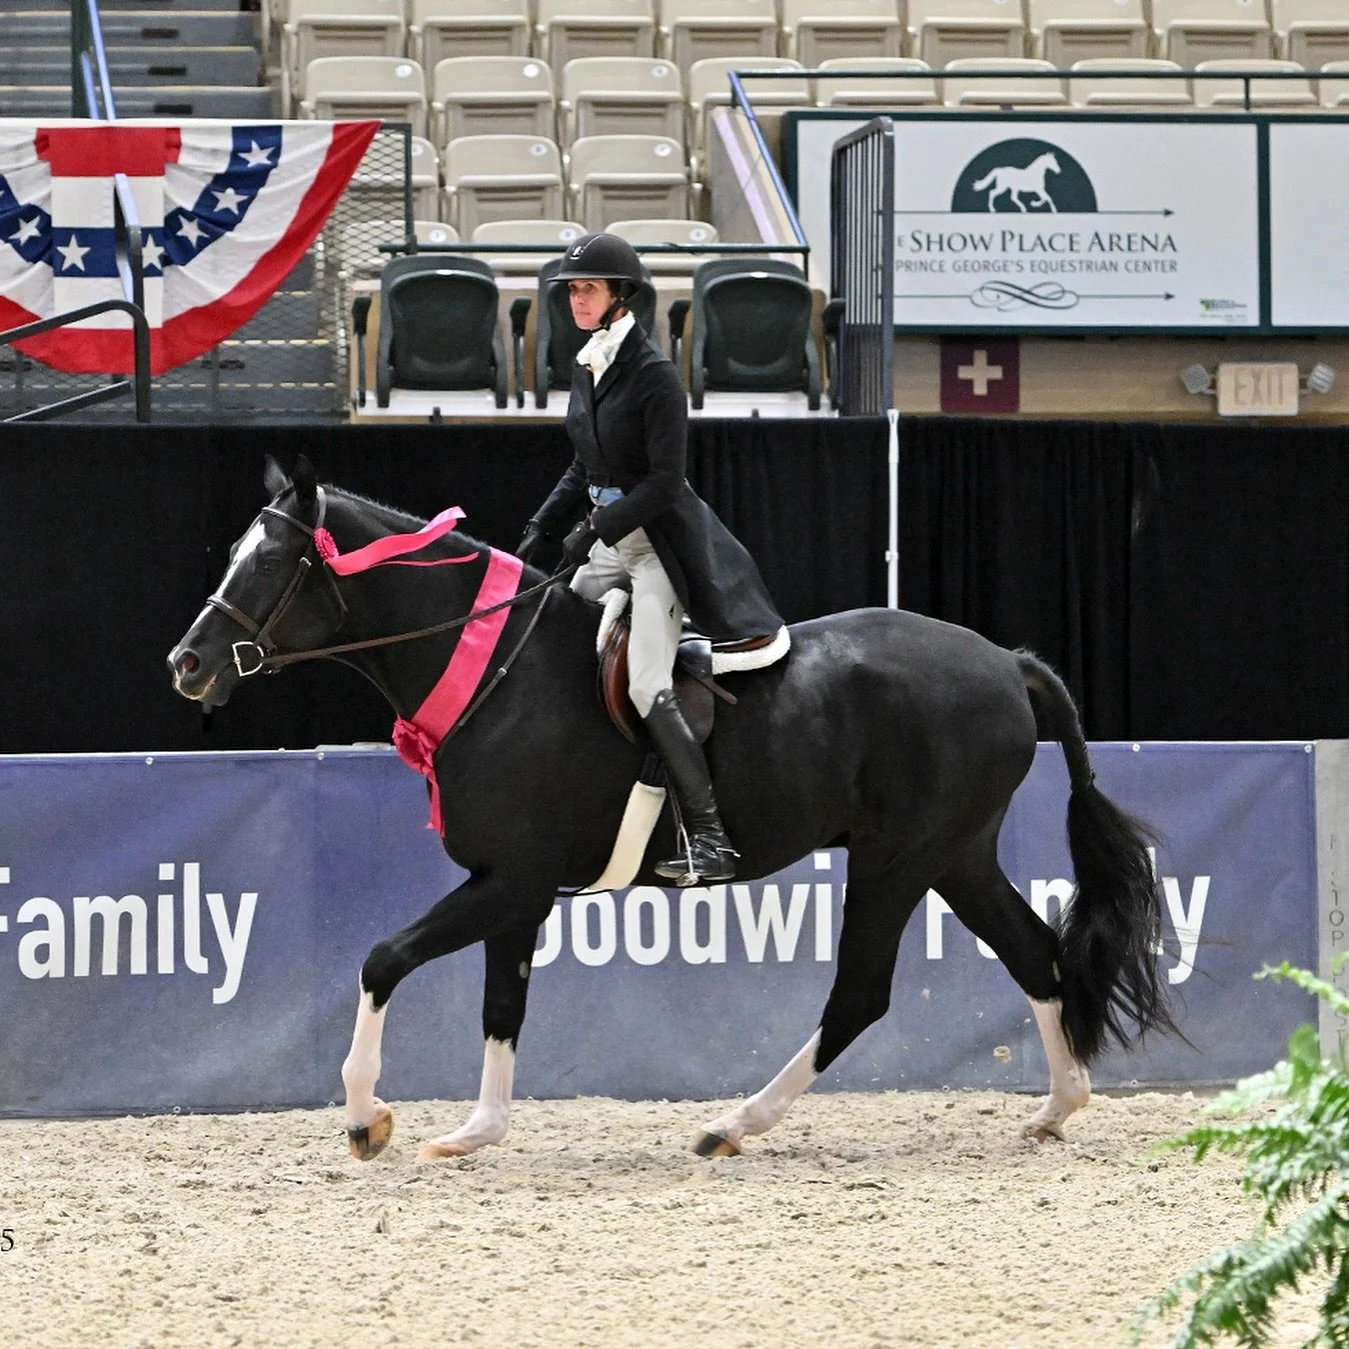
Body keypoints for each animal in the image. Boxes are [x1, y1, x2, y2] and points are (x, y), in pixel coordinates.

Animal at [167, 456, 1176, 1162]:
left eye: (274, 562)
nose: (188, 663)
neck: (495, 671)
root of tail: (1005, 661)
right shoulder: (511, 888)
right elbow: (502, 1004)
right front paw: (477, 1129)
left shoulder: (511, 880)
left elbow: (382, 960)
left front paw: (365, 1115)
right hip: (956, 853)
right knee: (1034, 954)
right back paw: (1055, 1108)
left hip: (899, 858)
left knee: (861, 992)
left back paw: (734, 1123)